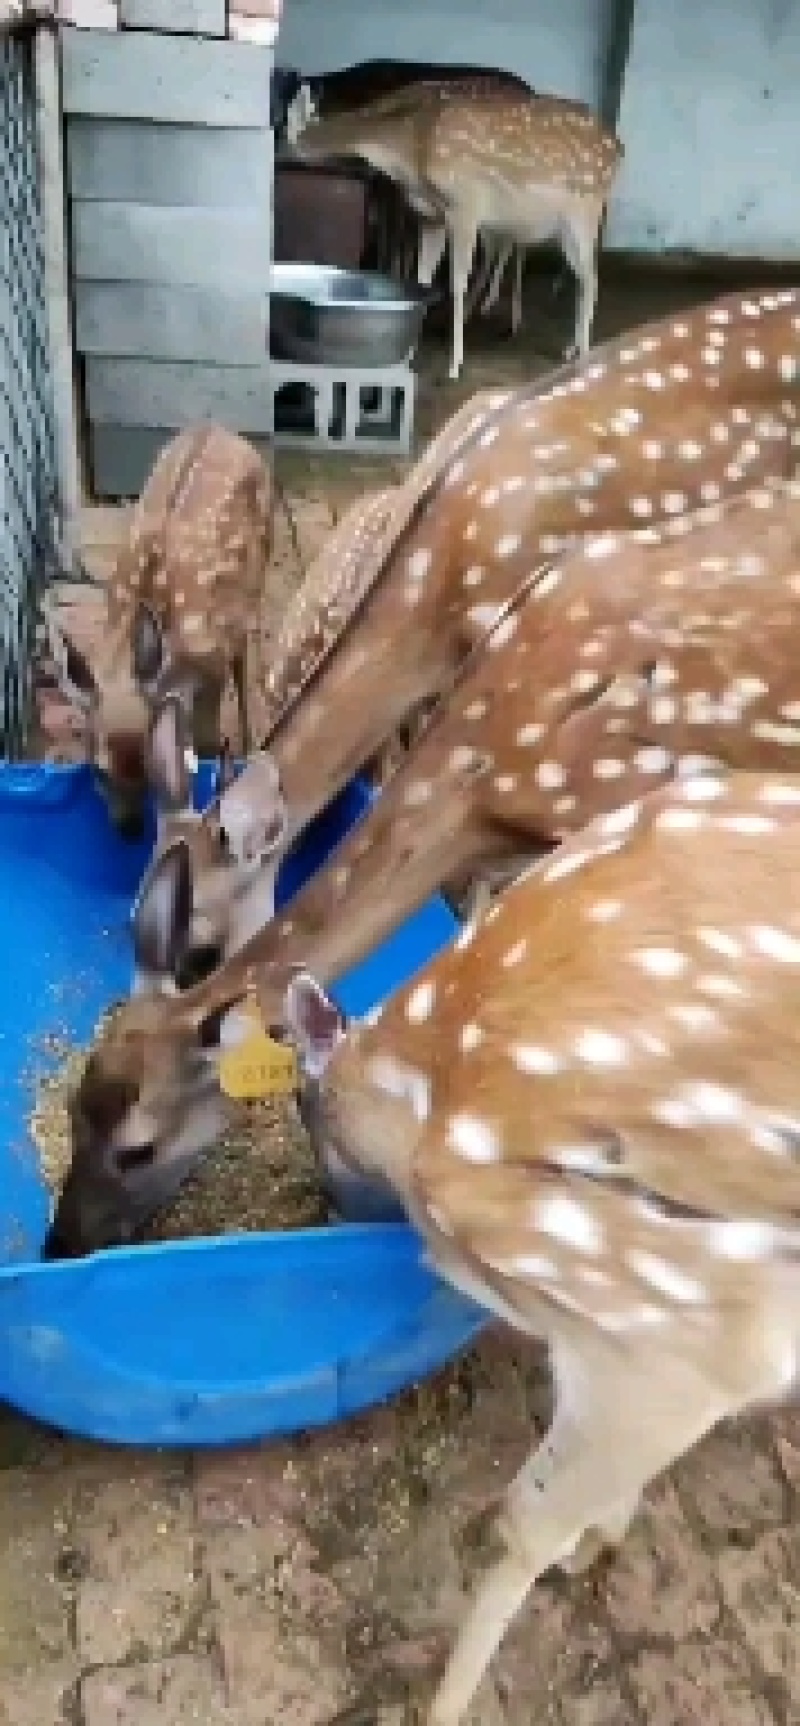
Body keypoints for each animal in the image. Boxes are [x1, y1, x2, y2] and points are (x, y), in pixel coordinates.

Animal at [43, 423, 274, 839]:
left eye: (151, 769)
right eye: (98, 770)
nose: (130, 829)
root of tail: (217, 427)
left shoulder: (211, 665)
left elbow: (208, 744)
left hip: (258, 572)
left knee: (245, 653)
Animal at [44, 770, 800, 1726]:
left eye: (135, 1148)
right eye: (70, 1112)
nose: (59, 1245)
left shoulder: (682, 1327)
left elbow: (518, 1526)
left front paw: (445, 1703)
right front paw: (604, 1535)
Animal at [291, 82, 623, 377]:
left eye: (284, 127)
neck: (405, 147)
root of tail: (619, 149)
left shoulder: (465, 204)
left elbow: (457, 282)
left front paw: (454, 364)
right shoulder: (431, 215)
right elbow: (421, 280)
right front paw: (409, 354)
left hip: (583, 212)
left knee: (591, 278)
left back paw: (580, 354)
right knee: (583, 277)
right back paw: (569, 348)